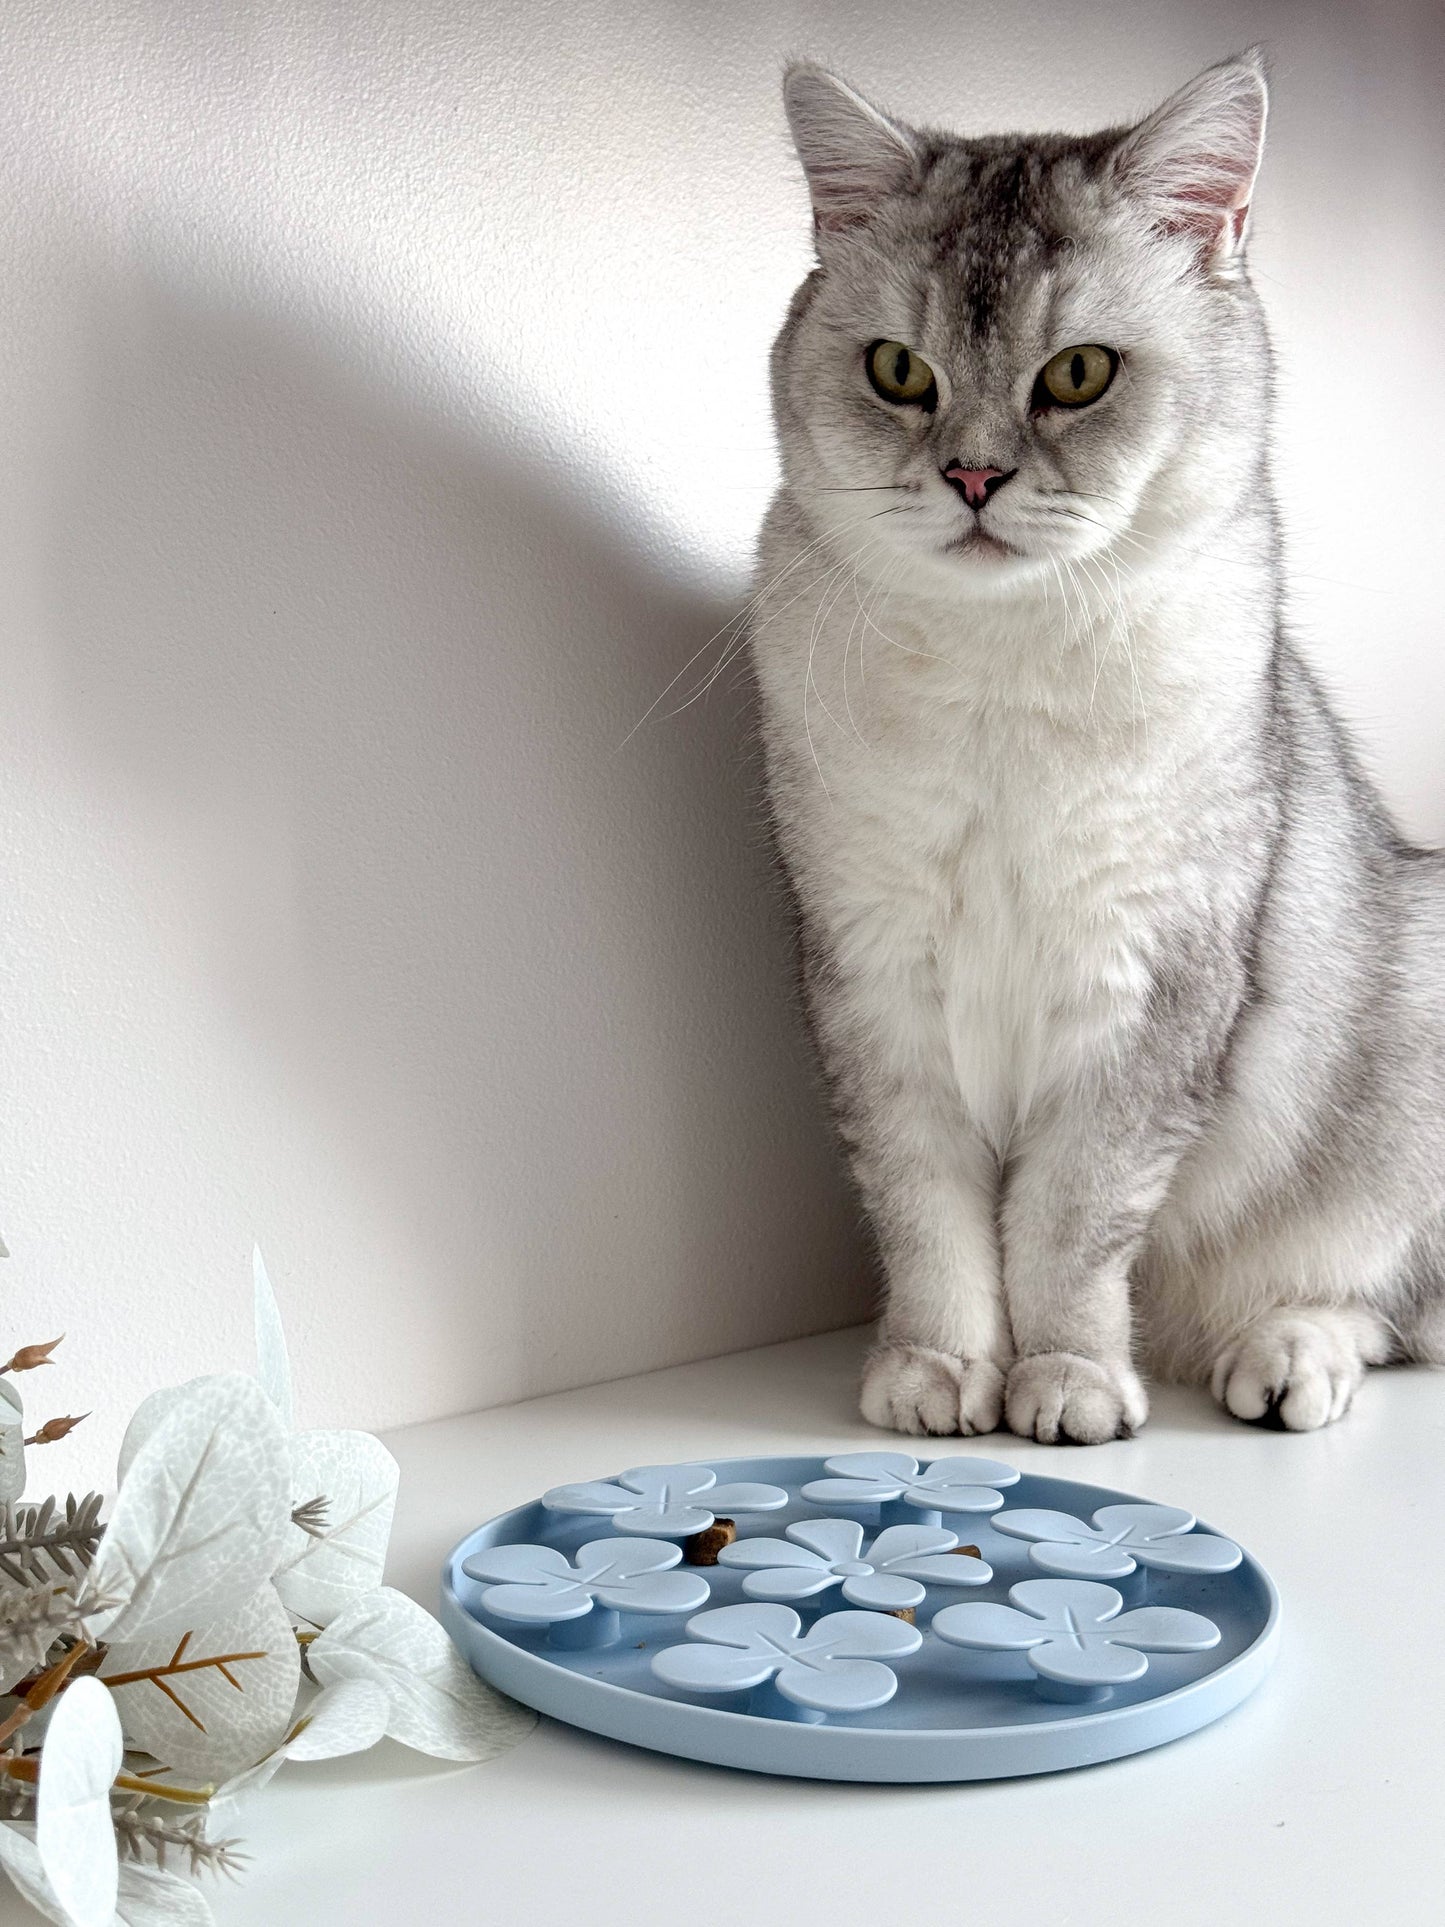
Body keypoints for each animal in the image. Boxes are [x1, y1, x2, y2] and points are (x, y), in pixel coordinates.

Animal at [748, 51, 1445, 1442]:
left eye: (1076, 375)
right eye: (897, 370)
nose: (969, 477)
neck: (998, 667)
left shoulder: (1147, 982)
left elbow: (1067, 1217)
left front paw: (1065, 1381)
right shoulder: (871, 976)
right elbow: (927, 1211)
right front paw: (935, 1369)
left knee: (1388, 1302)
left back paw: (1280, 1356)